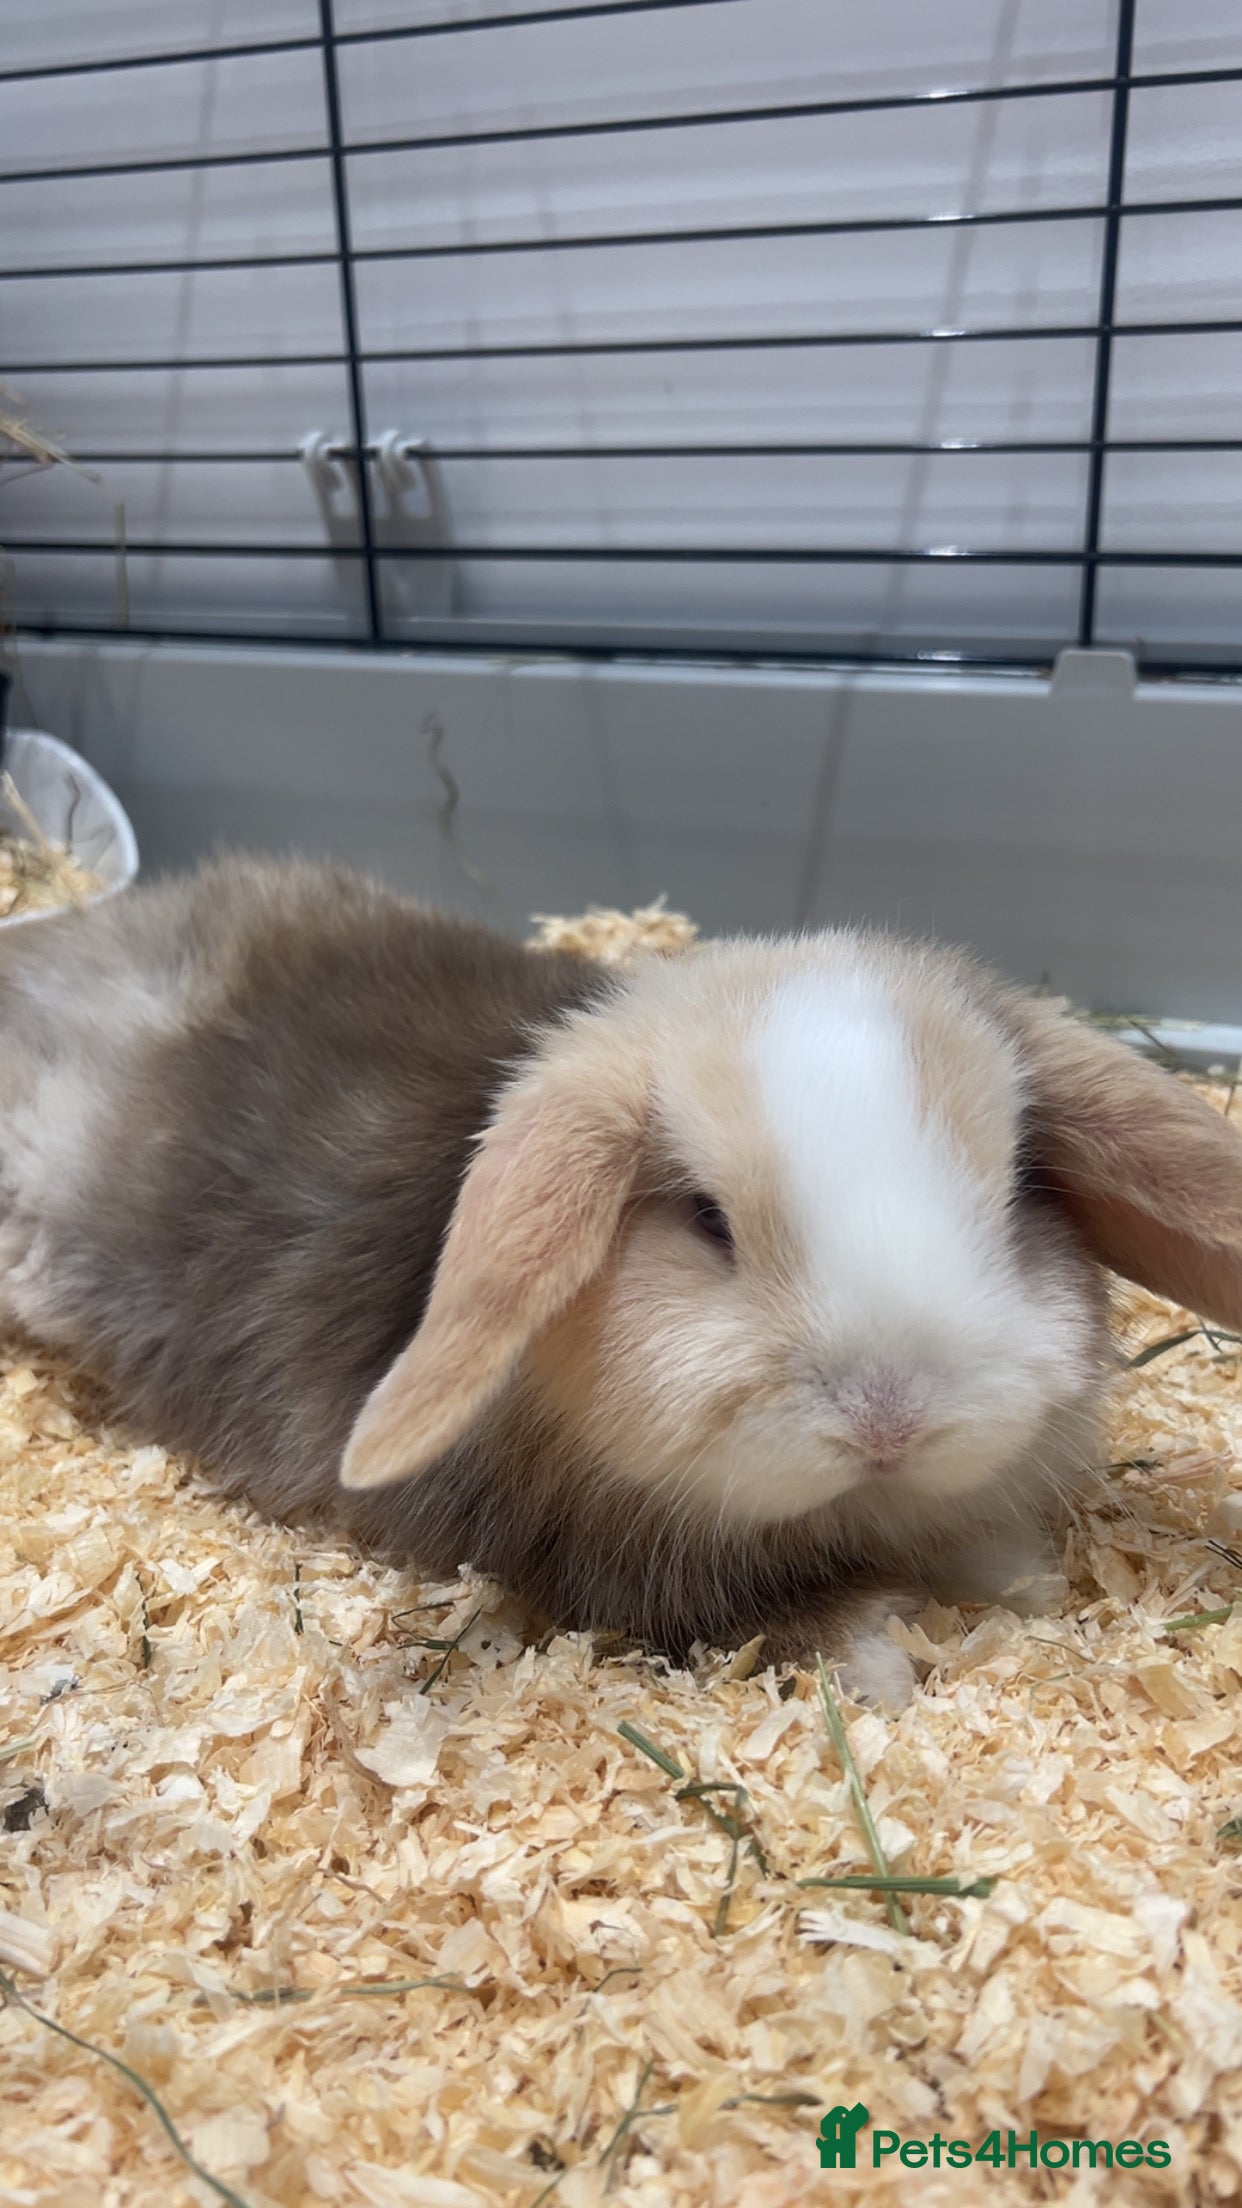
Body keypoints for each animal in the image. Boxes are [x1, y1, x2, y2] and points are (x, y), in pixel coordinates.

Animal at [3, 852, 1242, 1709]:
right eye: (704, 1218)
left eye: (1017, 1187)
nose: (890, 1420)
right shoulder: (612, 1568)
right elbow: (754, 1613)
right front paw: (883, 1657)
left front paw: (1021, 1582)